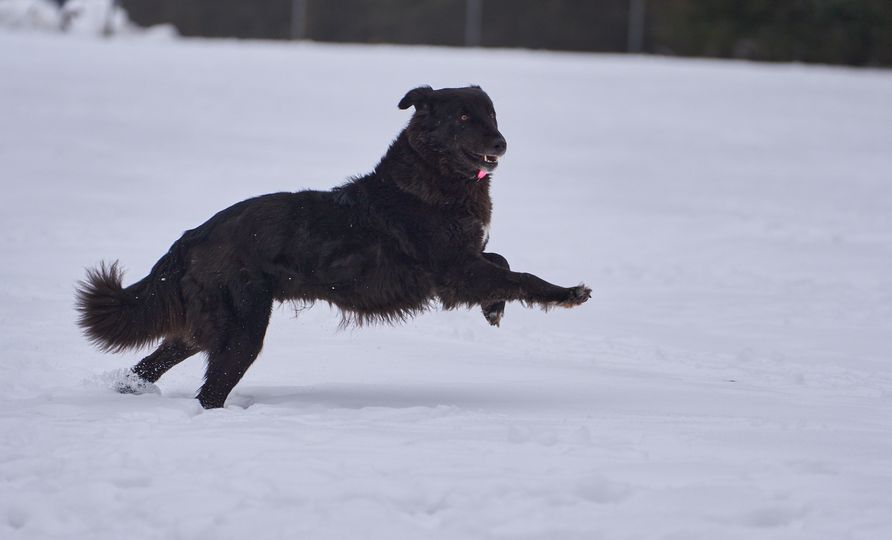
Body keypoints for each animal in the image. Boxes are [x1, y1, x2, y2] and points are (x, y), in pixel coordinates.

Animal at [78, 84, 592, 408]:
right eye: (464, 117)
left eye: (492, 115)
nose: (501, 143)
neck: (430, 179)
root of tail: (193, 236)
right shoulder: (454, 273)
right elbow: (519, 275)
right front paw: (566, 293)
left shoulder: (467, 262)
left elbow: (501, 260)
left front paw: (495, 309)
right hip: (242, 329)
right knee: (209, 394)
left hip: (202, 327)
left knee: (146, 367)